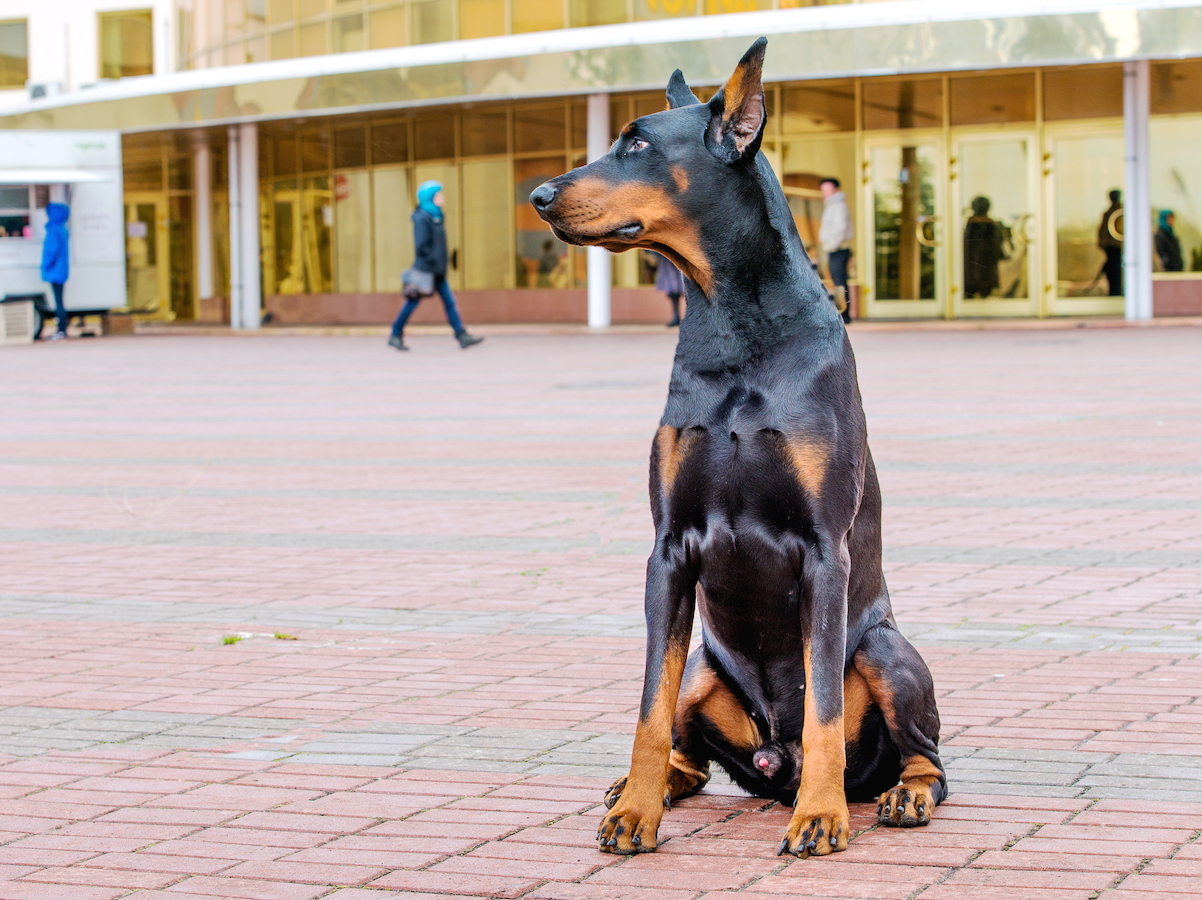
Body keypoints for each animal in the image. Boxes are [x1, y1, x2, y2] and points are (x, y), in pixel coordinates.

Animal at [531, 38, 942, 860]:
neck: (732, 325)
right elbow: (648, 708)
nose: (538, 194)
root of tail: (775, 762)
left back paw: (899, 794)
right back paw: (652, 786)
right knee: (687, 732)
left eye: (638, 144)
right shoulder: (668, 550)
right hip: (702, 665)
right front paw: (638, 811)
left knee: (927, 756)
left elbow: (824, 707)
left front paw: (821, 816)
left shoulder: (824, 550)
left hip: (885, 651)